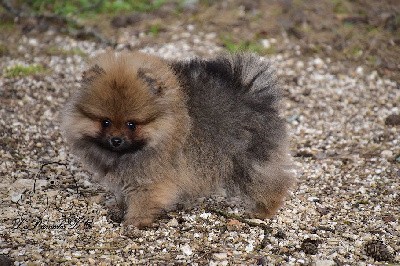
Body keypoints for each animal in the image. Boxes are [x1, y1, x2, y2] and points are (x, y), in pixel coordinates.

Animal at [61, 51, 296, 228]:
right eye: (106, 122)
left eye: (131, 124)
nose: (116, 140)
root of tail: (251, 92)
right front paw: (118, 207)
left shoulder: (150, 178)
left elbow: (143, 200)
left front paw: (134, 221)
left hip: (247, 160)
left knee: (270, 181)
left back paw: (264, 210)